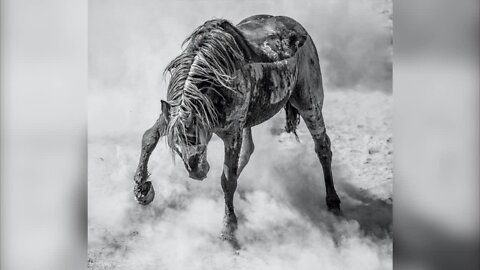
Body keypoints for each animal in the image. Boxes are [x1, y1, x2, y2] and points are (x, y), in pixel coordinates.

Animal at [132, 14, 342, 246]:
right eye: (176, 146)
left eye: (195, 136)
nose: (197, 173)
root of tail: (298, 28)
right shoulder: (170, 115)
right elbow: (149, 137)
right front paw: (141, 189)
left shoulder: (232, 133)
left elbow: (227, 180)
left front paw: (228, 229)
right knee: (249, 151)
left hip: (309, 104)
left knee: (323, 147)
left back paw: (333, 201)